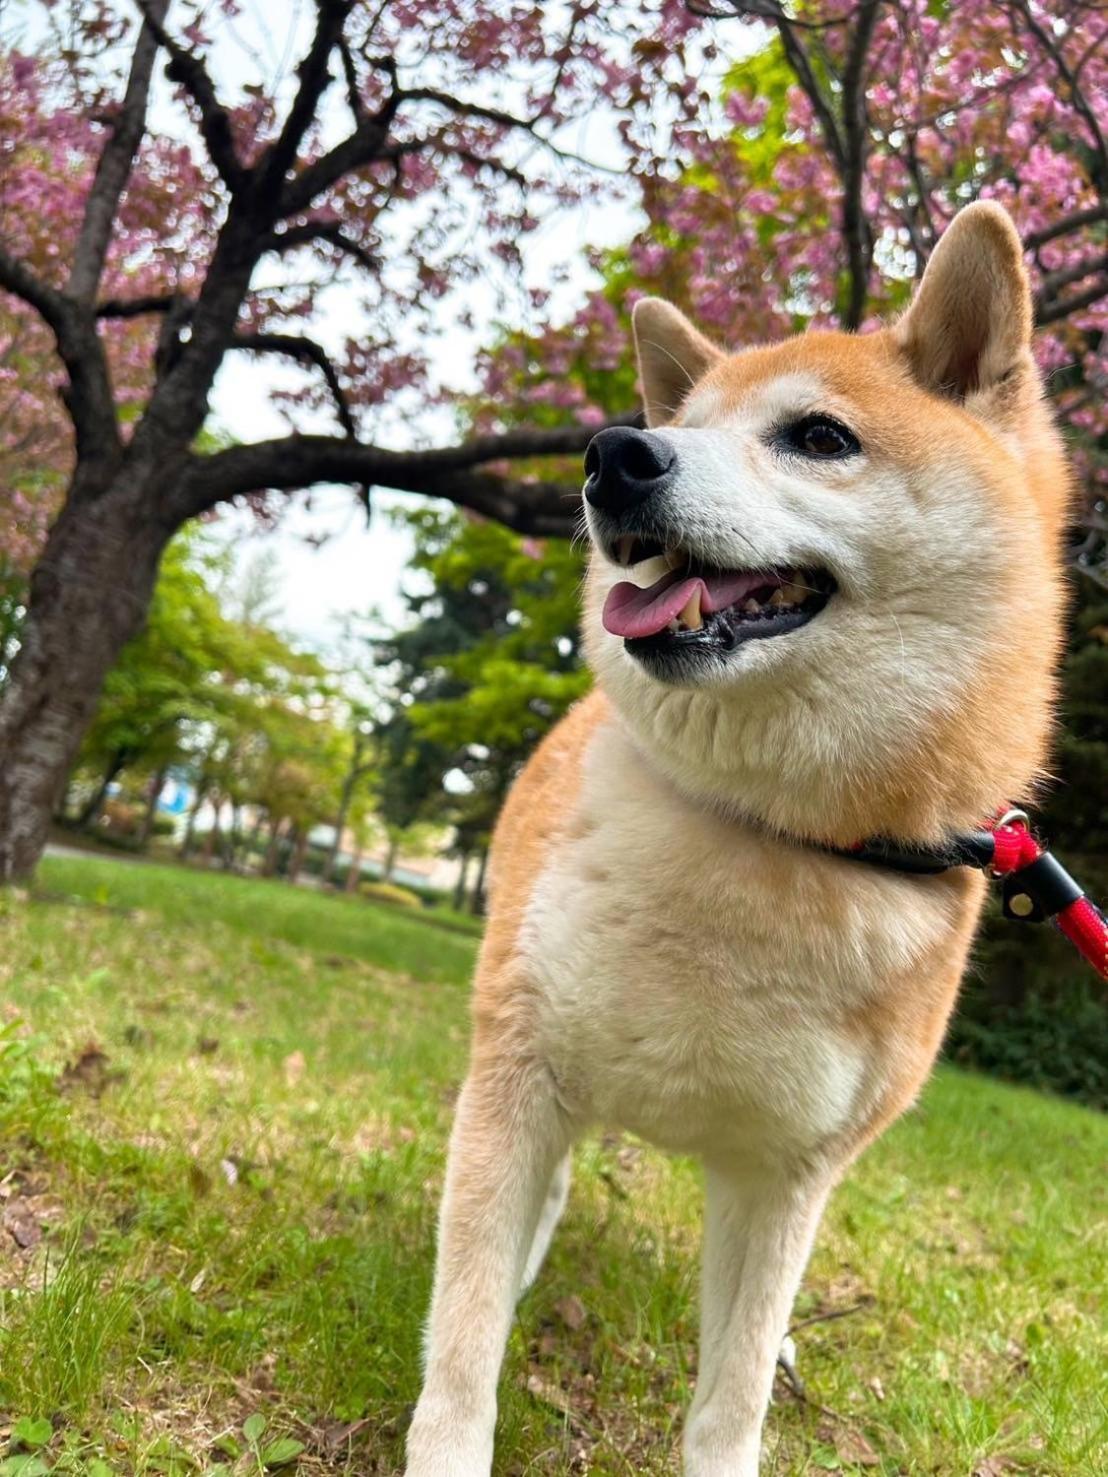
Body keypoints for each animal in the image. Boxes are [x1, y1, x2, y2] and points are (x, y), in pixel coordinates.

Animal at [407, 199, 1075, 1477]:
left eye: (818, 436)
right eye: (682, 425)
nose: (613, 453)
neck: (765, 830)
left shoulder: (788, 1174)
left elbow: (732, 1393)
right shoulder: (522, 1065)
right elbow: (462, 1345)